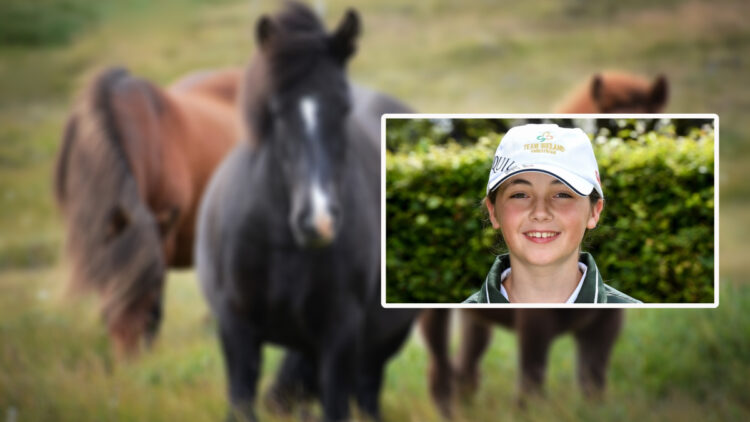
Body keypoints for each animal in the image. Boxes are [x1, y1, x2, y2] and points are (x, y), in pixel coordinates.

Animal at [195, 3, 416, 421]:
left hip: (374, 348)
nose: (319, 220)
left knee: (367, 394)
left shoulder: (339, 336)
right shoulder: (236, 330)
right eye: (277, 110)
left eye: (344, 108)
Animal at [420, 72, 670, 418]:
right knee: (441, 367)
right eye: (606, 126)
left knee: (465, 368)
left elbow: (593, 384)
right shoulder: (534, 324)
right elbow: (531, 383)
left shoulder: (604, 326)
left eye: (653, 129)